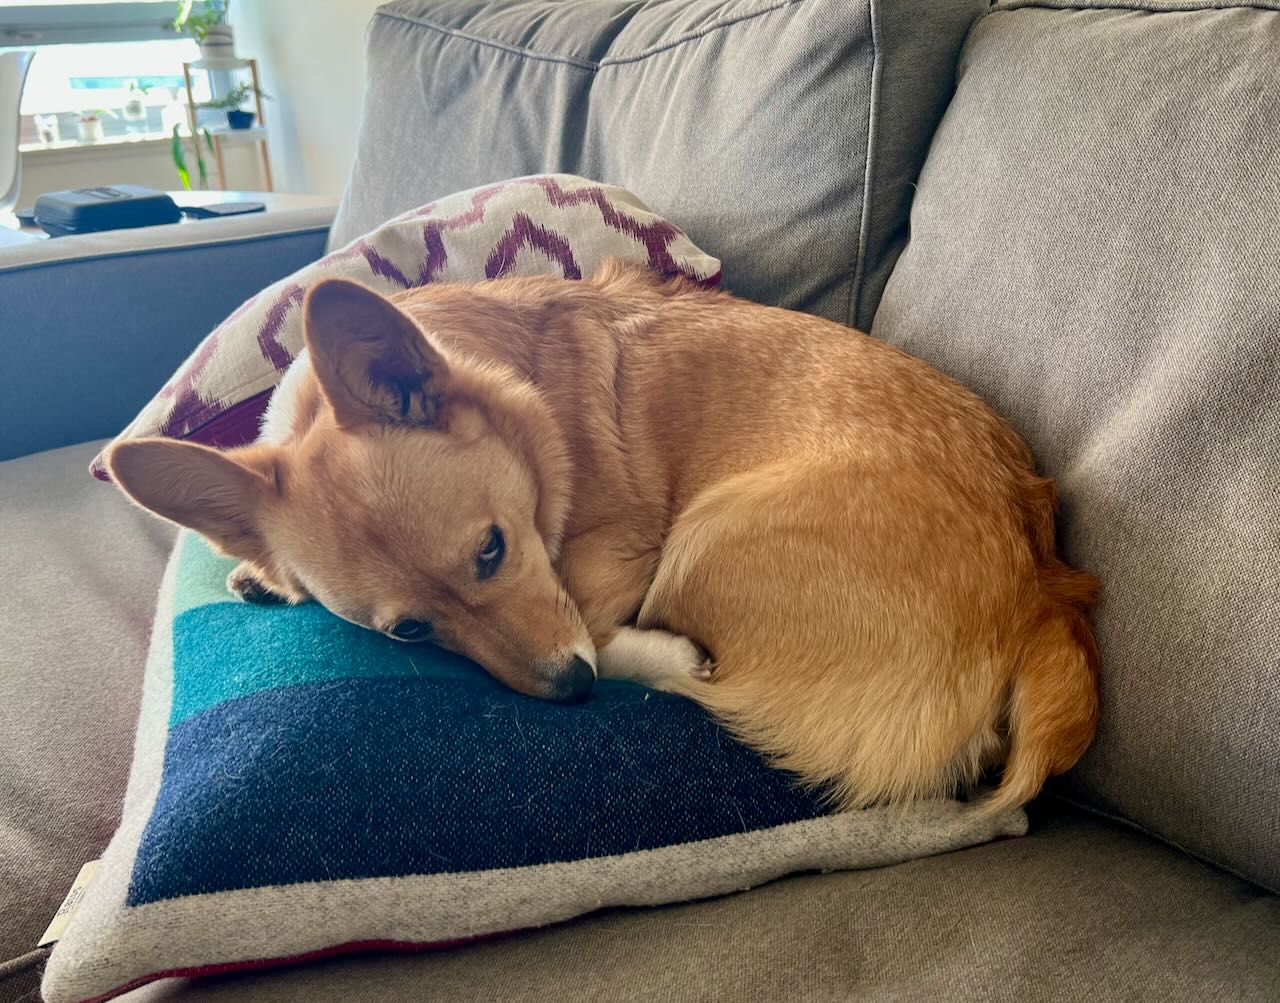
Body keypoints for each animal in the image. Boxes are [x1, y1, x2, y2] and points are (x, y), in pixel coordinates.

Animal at [107, 262, 1100, 808]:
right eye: (410, 632)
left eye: (493, 548)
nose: (570, 693)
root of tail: (1042, 592)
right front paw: (256, 573)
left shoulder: (612, 561)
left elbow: (592, 614)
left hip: (706, 541)